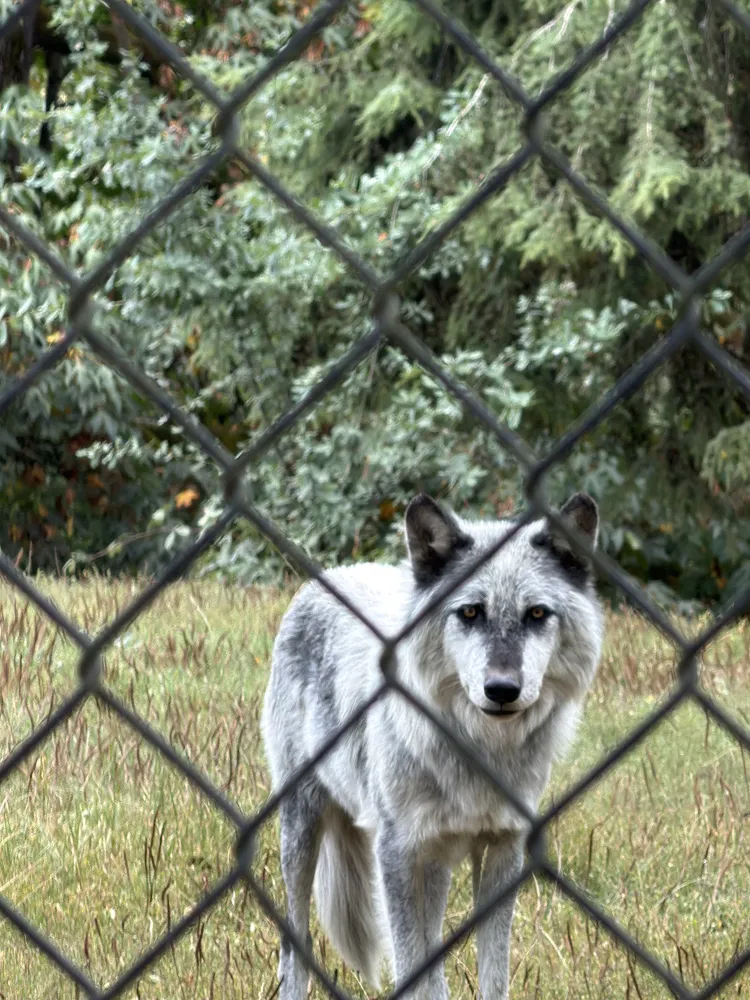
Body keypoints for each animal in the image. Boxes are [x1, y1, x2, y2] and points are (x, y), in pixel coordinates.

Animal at [262, 492, 604, 1000]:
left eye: (537, 614)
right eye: (470, 612)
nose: (502, 690)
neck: (478, 752)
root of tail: (332, 574)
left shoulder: (504, 852)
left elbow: (491, 976)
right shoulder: (397, 855)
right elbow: (408, 967)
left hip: (435, 865)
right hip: (302, 832)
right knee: (294, 944)